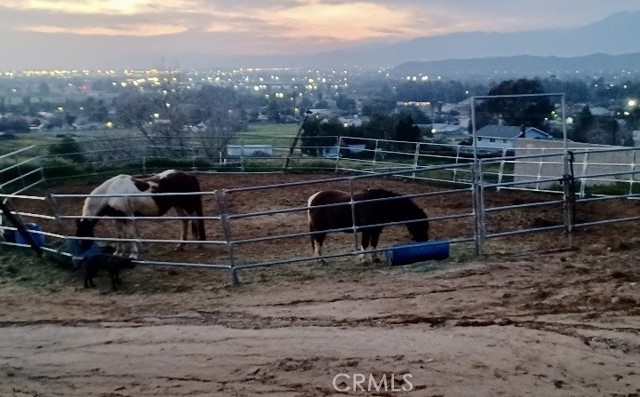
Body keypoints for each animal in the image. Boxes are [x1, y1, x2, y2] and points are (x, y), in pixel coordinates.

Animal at [74, 169, 206, 258]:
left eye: (84, 234)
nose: (82, 253)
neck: (110, 193)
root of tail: (188, 175)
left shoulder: (128, 216)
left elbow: (130, 235)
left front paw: (133, 254)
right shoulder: (117, 218)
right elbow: (120, 235)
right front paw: (118, 252)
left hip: (189, 206)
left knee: (195, 220)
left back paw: (198, 245)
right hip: (178, 205)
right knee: (184, 221)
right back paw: (180, 246)